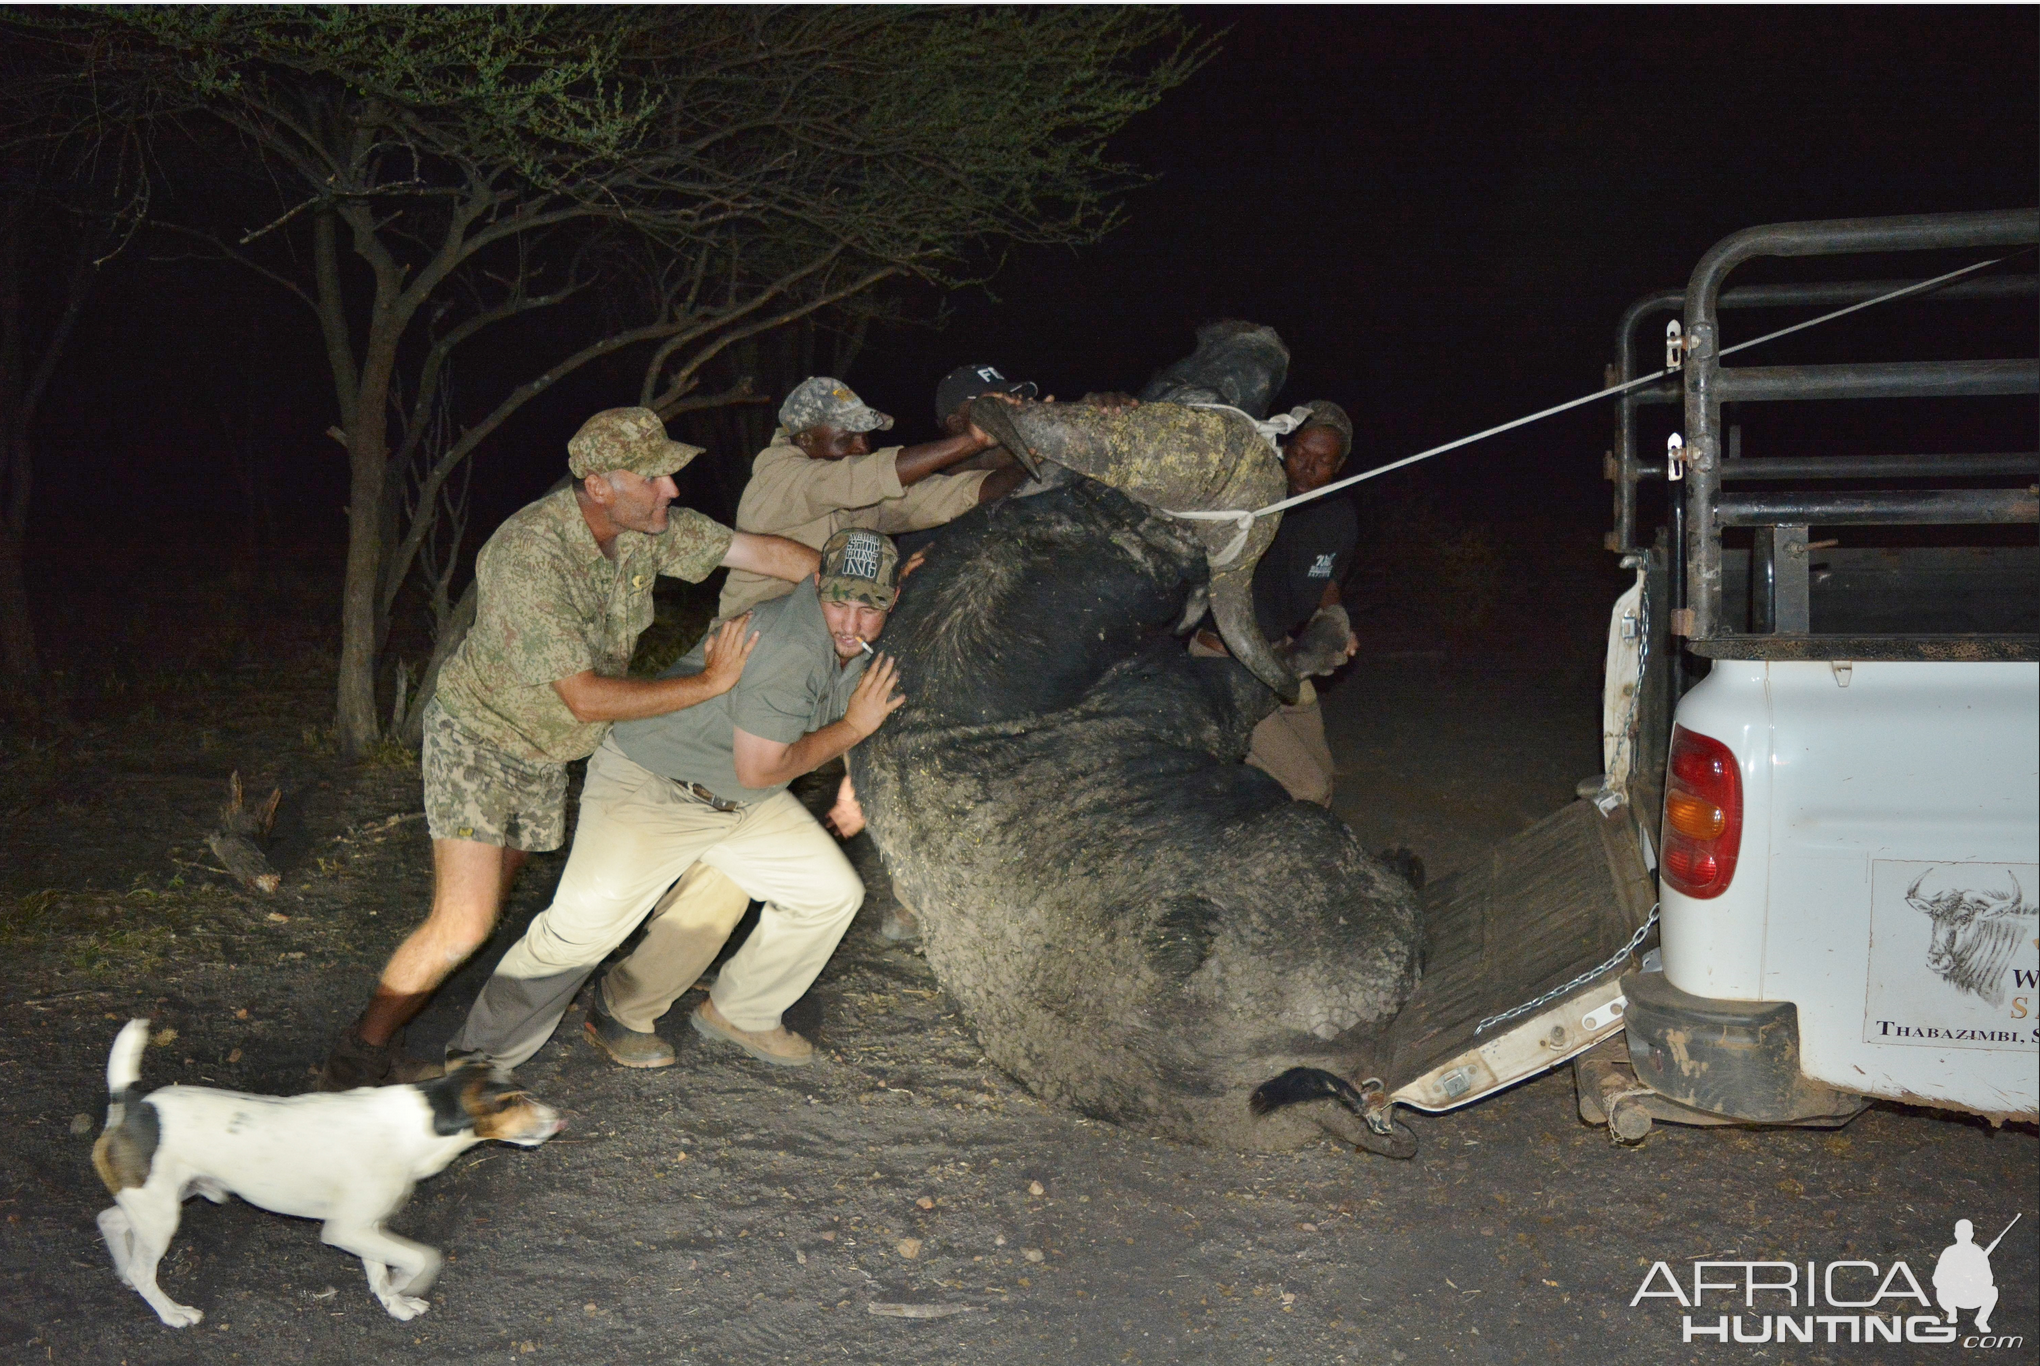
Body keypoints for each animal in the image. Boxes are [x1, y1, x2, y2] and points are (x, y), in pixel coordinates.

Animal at [92, 1015, 563, 1329]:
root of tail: (133, 1103)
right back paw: (170, 1311)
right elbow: (421, 1257)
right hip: (161, 1214)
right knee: (143, 1267)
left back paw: (126, 1273)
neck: (423, 1121)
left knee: (110, 1221)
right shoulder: (344, 1230)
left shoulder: (365, 1226)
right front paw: (406, 1284)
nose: (562, 1120)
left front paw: (393, 1302)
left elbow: (379, 1268)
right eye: (518, 1100)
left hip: (162, 1200)